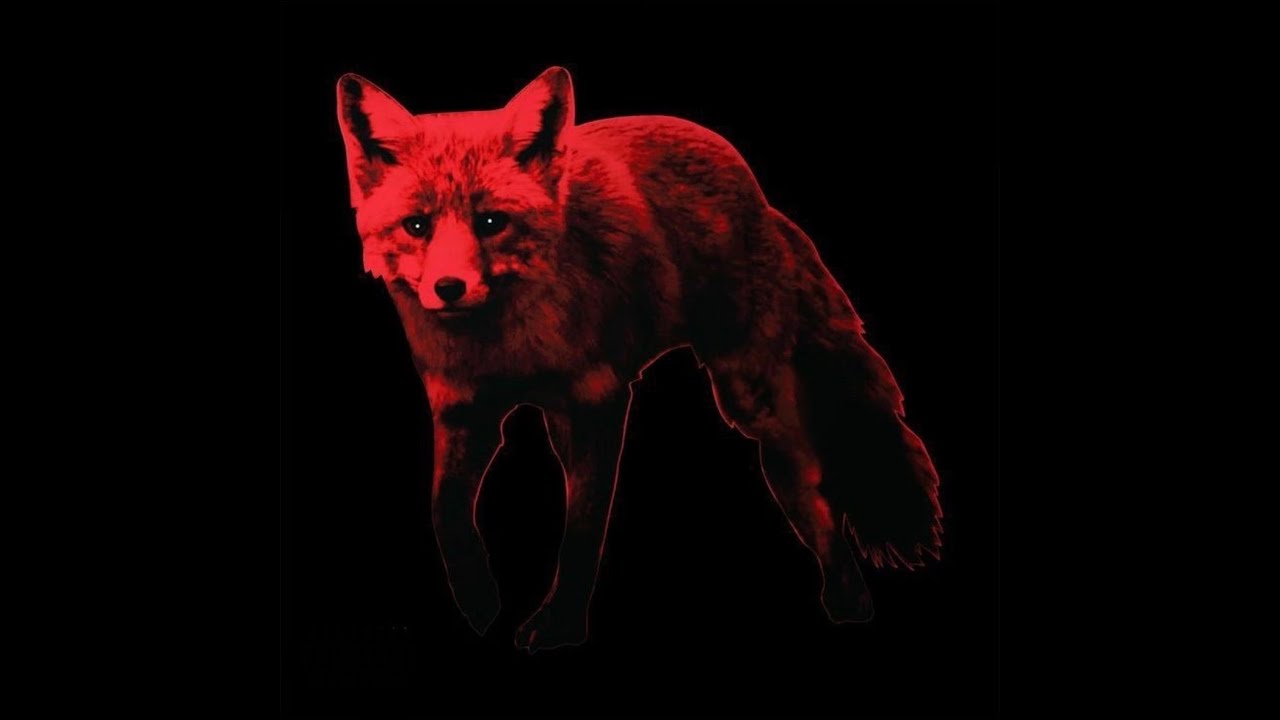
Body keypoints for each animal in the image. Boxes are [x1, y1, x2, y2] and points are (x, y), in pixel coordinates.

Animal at [336, 67, 943, 652]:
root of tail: (758, 192)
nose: (448, 288)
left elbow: (582, 529)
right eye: (417, 226)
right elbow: (445, 515)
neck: (508, 347)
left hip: (752, 402)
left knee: (816, 495)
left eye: (491, 222)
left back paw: (848, 600)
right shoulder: (463, 410)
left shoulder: (596, 402)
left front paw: (558, 627)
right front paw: (481, 605)